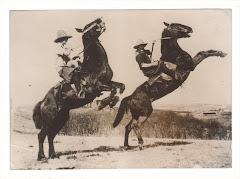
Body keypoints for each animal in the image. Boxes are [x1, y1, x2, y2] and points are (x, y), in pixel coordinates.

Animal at [32, 18, 124, 161]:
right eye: (88, 25)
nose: (100, 20)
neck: (95, 65)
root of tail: (43, 101)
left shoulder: (108, 82)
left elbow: (121, 87)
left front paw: (110, 103)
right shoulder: (97, 86)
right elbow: (114, 90)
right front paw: (102, 104)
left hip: (61, 119)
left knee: (51, 135)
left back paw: (53, 155)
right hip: (50, 120)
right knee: (42, 135)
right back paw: (41, 157)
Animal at [113, 21, 227, 149]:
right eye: (175, 25)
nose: (190, 28)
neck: (173, 54)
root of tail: (131, 97)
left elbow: (203, 52)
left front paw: (221, 52)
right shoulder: (190, 65)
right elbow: (203, 53)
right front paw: (221, 53)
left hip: (136, 114)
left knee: (128, 126)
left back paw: (127, 145)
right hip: (145, 113)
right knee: (135, 126)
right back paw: (140, 144)